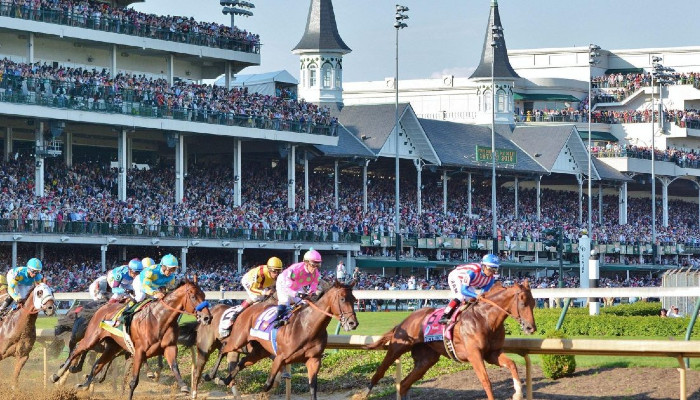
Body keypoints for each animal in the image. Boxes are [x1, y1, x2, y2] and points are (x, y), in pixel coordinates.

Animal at [51, 278, 211, 400]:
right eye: (193, 296)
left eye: (204, 295)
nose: (207, 317)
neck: (159, 319)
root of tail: (101, 308)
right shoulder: (139, 352)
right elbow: (133, 381)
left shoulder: (169, 347)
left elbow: (174, 367)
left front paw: (184, 387)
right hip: (92, 338)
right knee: (77, 350)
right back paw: (57, 375)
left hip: (112, 347)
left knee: (97, 364)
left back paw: (84, 383)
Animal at [202, 280, 358, 400]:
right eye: (342, 299)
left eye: (354, 299)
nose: (353, 323)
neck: (307, 327)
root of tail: (247, 310)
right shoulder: (280, 357)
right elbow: (268, 384)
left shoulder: (314, 360)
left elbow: (313, 389)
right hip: (238, 340)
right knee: (224, 349)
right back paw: (210, 375)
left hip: (259, 352)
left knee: (241, 362)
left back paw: (225, 379)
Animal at [360, 280, 536, 400]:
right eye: (522, 302)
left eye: (534, 303)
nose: (531, 328)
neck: (485, 319)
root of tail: (406, 320)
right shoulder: (474, 355)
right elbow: (486, 381)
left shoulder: (492, 354)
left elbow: (512, 364)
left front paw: (518, 393)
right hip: (398, 347)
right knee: (381, 371)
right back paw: (364, 393)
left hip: (426, 360)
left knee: (403, 384)